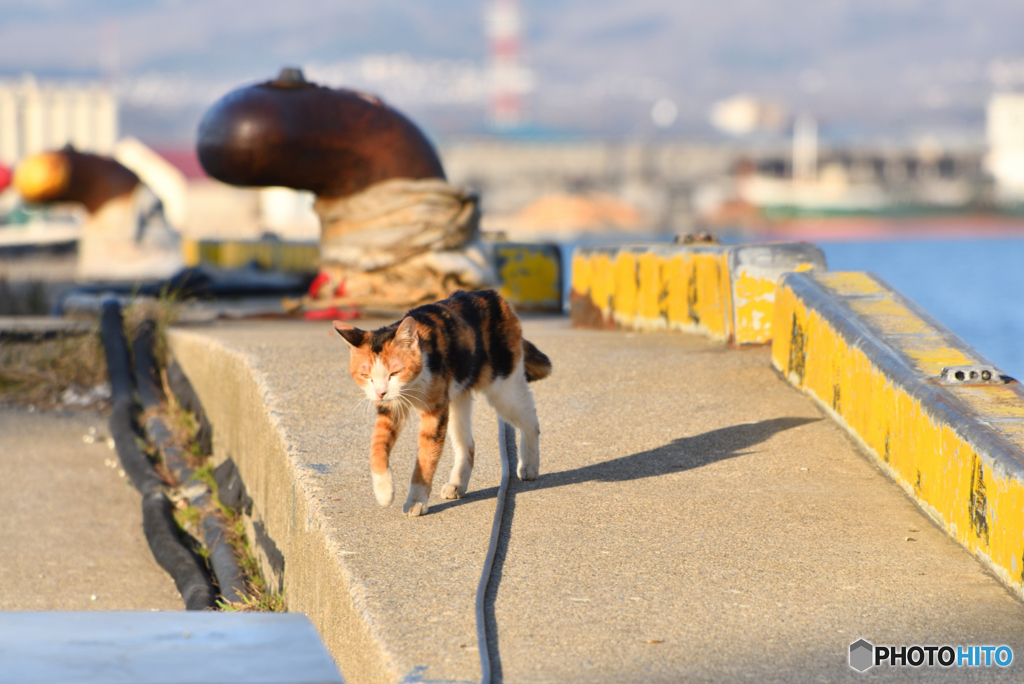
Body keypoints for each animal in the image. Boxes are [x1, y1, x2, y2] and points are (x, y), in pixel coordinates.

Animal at [333, 288, 552, 518]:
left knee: (530, 419)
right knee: (467, 444)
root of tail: (492, 294)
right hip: (457, 398)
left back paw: (529, 465)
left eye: (394, 373)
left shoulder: (435, 412)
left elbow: (426, 457)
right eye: (366, 375)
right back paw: (457, 484)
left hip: (503, 389)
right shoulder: (390, 410)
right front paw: (384, 491)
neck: (412, 385)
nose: (380, 392)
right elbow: (377, 447)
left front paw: (416, 501)